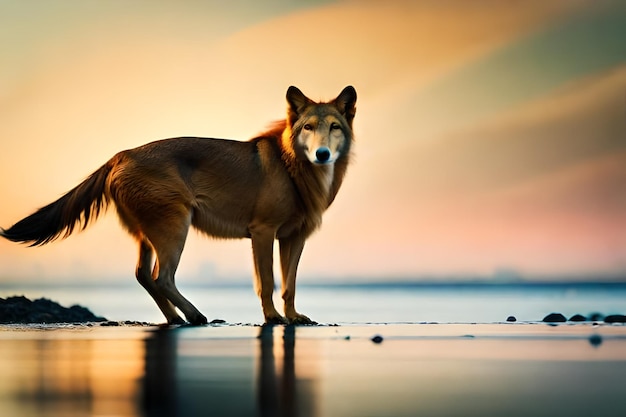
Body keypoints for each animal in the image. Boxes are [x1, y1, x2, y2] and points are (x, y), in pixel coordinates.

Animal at [1, 85, 356, 324]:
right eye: (308, 127)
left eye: (334, 127)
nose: (322, 154)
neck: (293, 167)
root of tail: (121, 155)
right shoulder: (263, 233)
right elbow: (267, 283)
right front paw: (273, 318)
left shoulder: (294, 238)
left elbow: (289, 285)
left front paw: (293, 317)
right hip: (175, 228)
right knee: (162, 277)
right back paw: (195, 316)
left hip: (150, 235)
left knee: (144, 275)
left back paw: (175, 318)